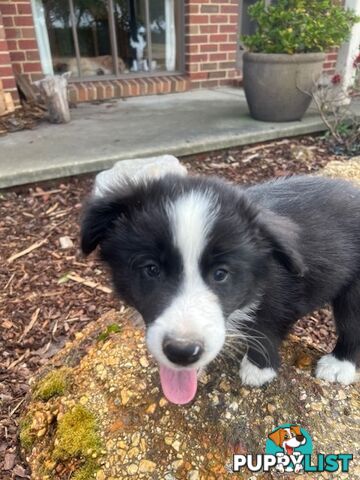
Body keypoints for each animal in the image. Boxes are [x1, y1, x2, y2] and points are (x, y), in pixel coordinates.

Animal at [81, 174, 360, 404]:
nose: (182, 352)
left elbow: (267, 325)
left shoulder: (282, 291)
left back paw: (339, 365)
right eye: (151, 269)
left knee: (352, 323)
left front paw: (258, 369)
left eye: (220, 274)